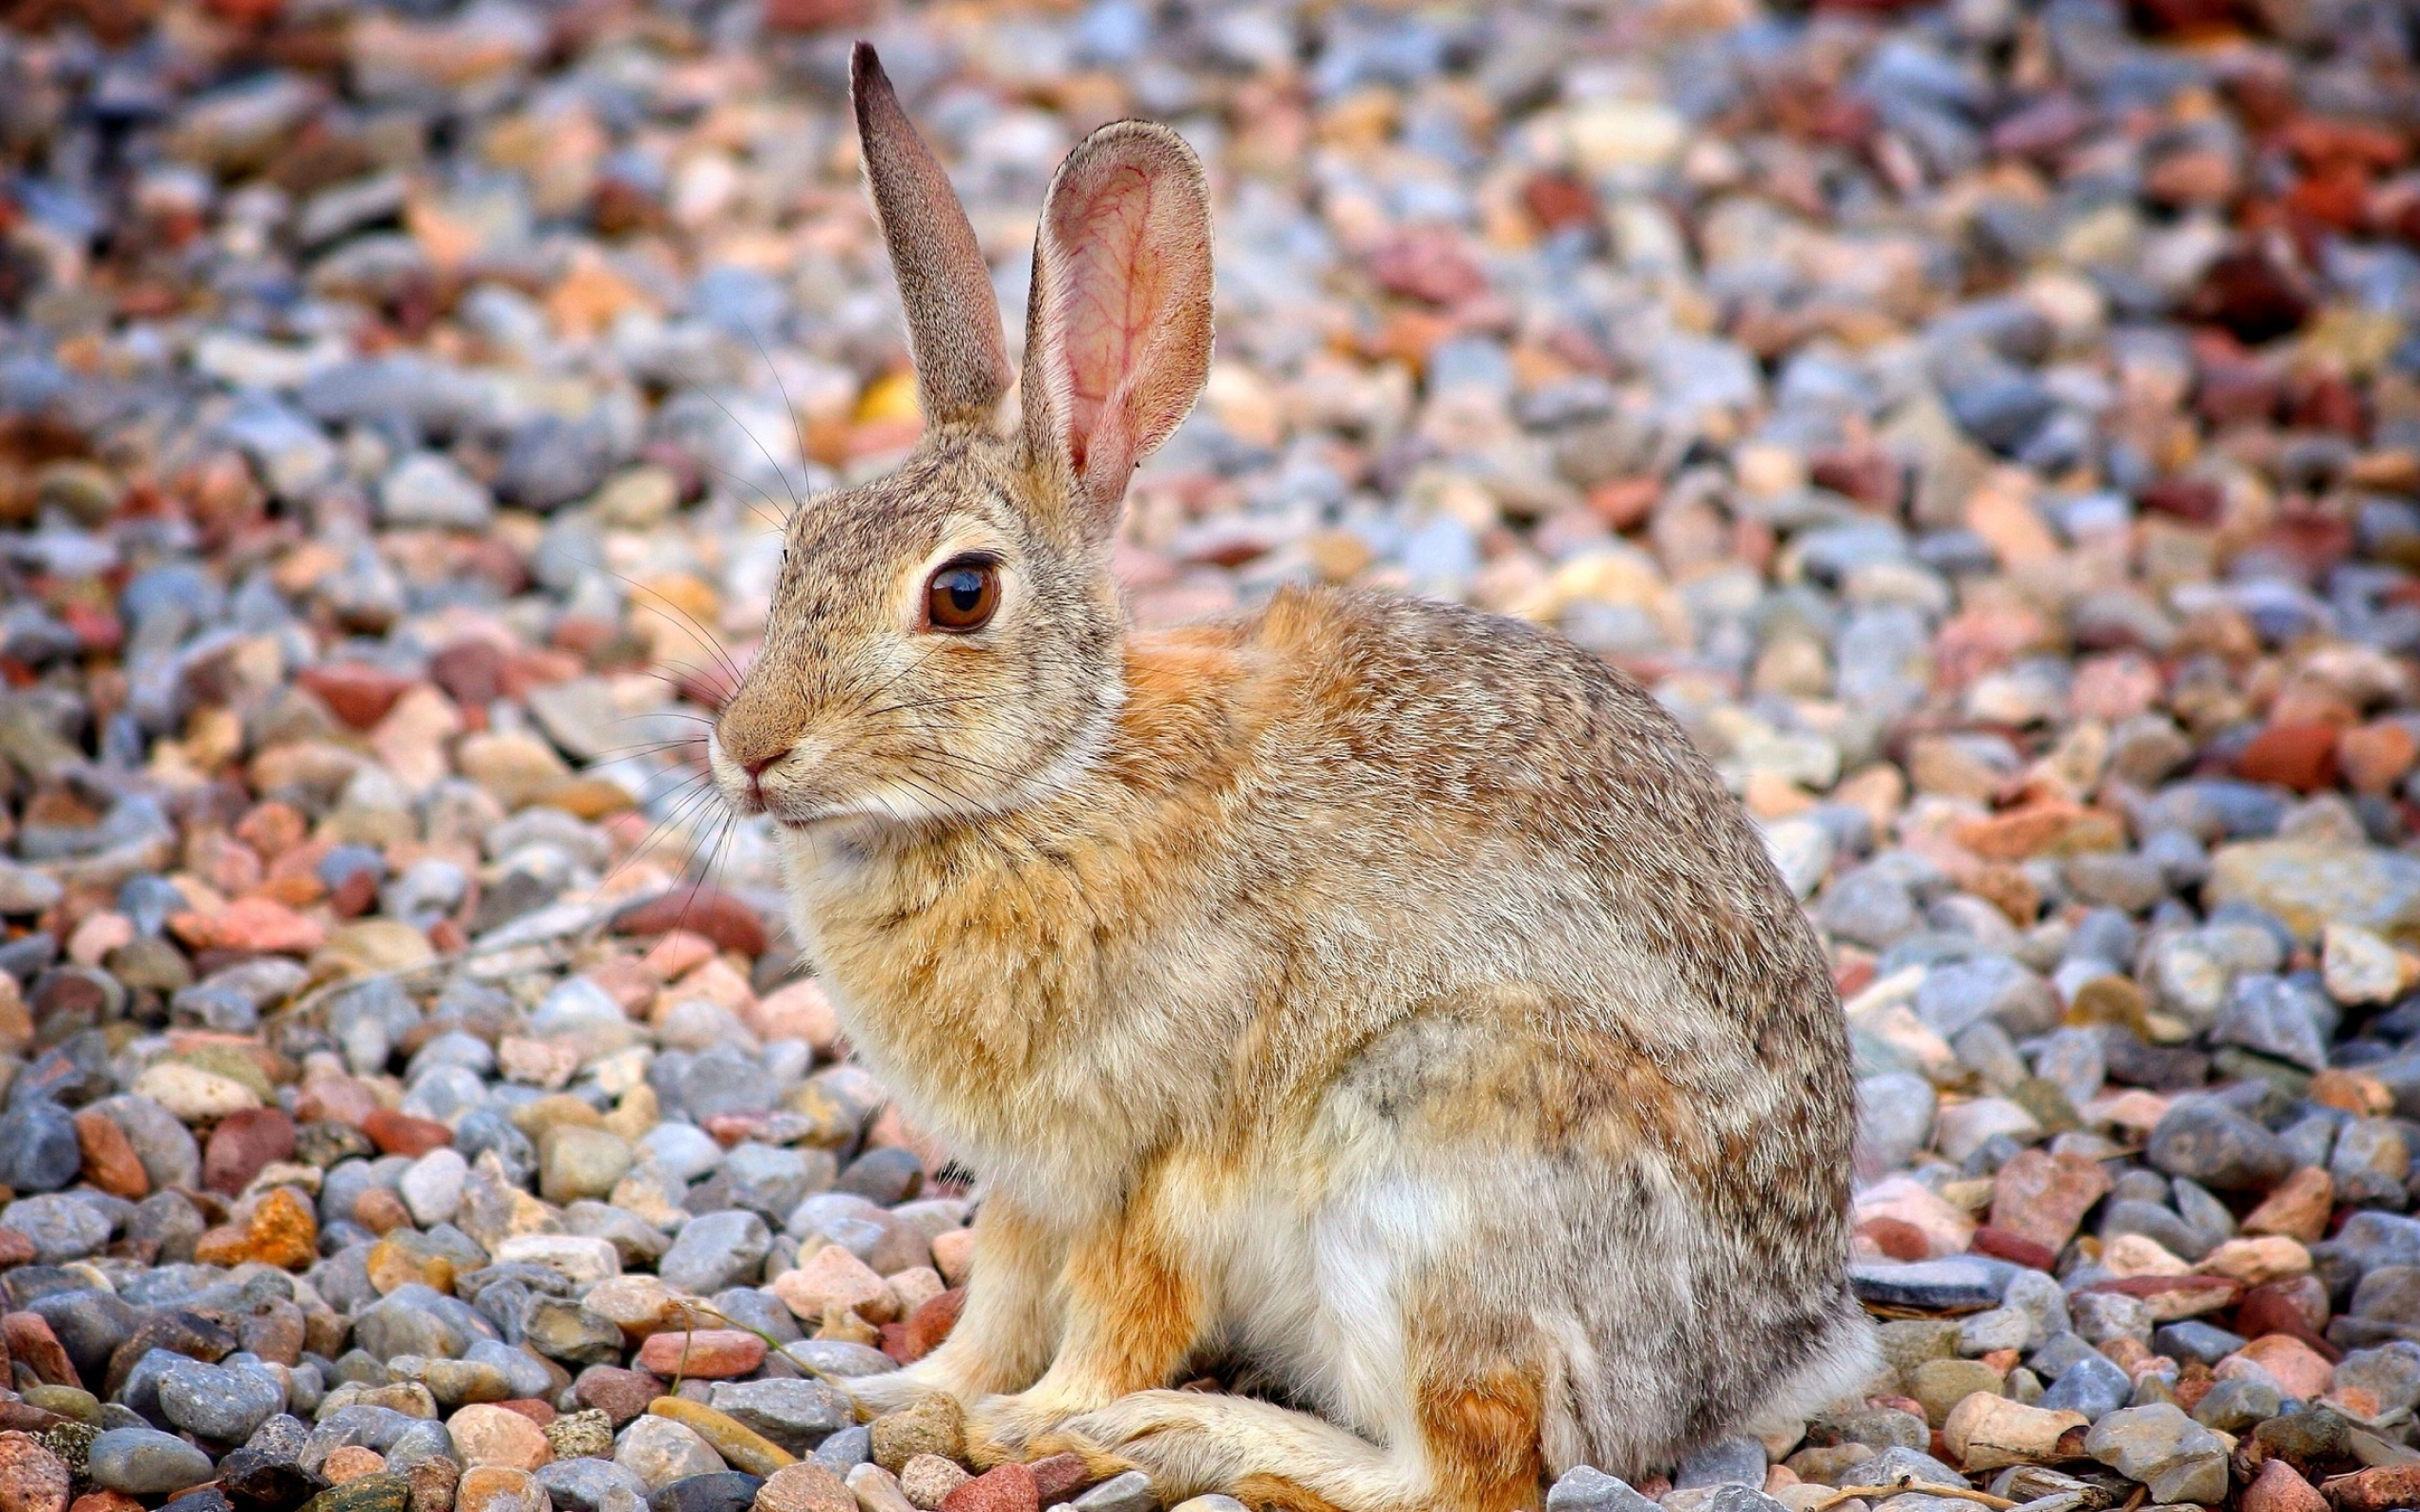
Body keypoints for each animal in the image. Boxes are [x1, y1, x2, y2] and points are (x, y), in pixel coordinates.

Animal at [706, 41, 1877, 1509]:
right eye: (796, 544)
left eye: (960, 595)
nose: (747, 750)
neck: (1054, 779)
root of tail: (1758, 1364)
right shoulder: (1034, 1180)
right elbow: (999, 1297)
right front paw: (909, 1390)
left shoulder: (1158, 1163)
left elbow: (1118, 1307)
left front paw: (1039, 1423)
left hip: (1436, 1166)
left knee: (1467, 1467)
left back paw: (1186, 1435)